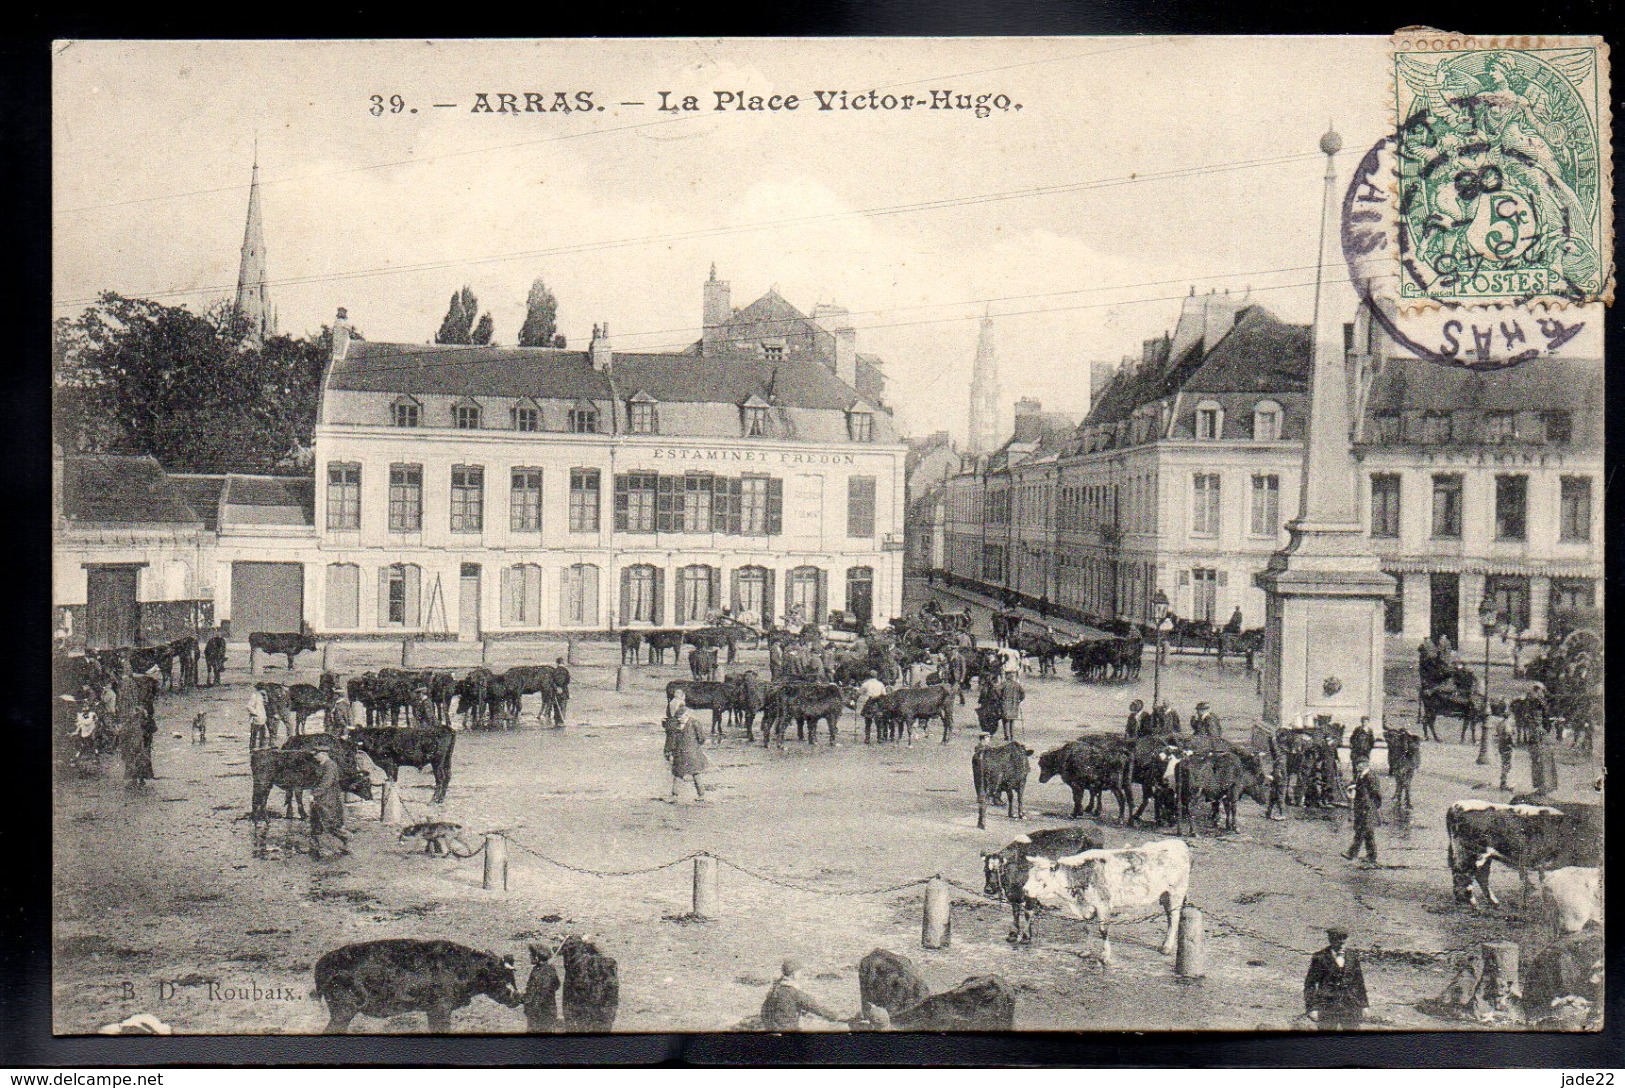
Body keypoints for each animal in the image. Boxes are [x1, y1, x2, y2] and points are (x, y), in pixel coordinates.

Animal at [312, 941, 520, 1032]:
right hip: (343, 1009)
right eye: (501, 976)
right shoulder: (440, 1007)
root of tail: (321, 965)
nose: (519, 997)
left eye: (513, 977)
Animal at [975, 828, 1105, 948]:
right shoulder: (1013, 894)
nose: (988, 889)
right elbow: (1015, 912)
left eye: (1000, 870)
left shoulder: (1030, 893)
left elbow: (1027, 912)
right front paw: (1013, 934)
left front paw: (1026, 937)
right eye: (985, 870)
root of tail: (1094, 830)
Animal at [1027, 837, 1196, 967]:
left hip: (1176, 892)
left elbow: (1103, 930)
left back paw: (1167, 947)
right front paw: (1085, 951)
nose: (1025, 890)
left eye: (1040, 879)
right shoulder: (1088, 906)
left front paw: (1105, 956)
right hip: (1165, 895)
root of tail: (1179, 843)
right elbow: (1087, 928)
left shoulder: (1103, 904)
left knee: (1174, 918)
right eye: (1029, 875)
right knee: (1169, 918)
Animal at [1443, 802, 1605, 909]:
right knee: (1463, 875)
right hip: (1472, 853)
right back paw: (1471, 904)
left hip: (1482, 856)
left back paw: (1492, 903)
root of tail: (1457, 806)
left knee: (1479, 877)